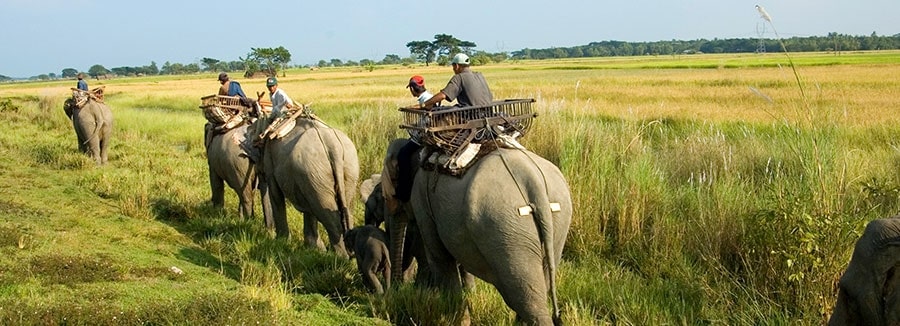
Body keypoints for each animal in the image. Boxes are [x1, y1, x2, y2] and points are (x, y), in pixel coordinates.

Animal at [256, 116, 358, 258]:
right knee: (344, 208)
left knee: (327, 214)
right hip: (342, 170)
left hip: (314, 171)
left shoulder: (270, 160)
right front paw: (314, 249)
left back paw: (340, 257)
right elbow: (309, 208)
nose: (268, 232)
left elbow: (275, 194)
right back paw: (345, 254)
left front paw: (281, 242)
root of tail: (333, 145)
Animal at [384, 138, 568, 326]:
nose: (395, 290)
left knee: (524, 296)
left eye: (393, 183)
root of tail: (534, 181)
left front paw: (460, 320)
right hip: (556, 222)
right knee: (541, 285)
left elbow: (439, 258)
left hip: (504, 226)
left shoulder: (422, 199)